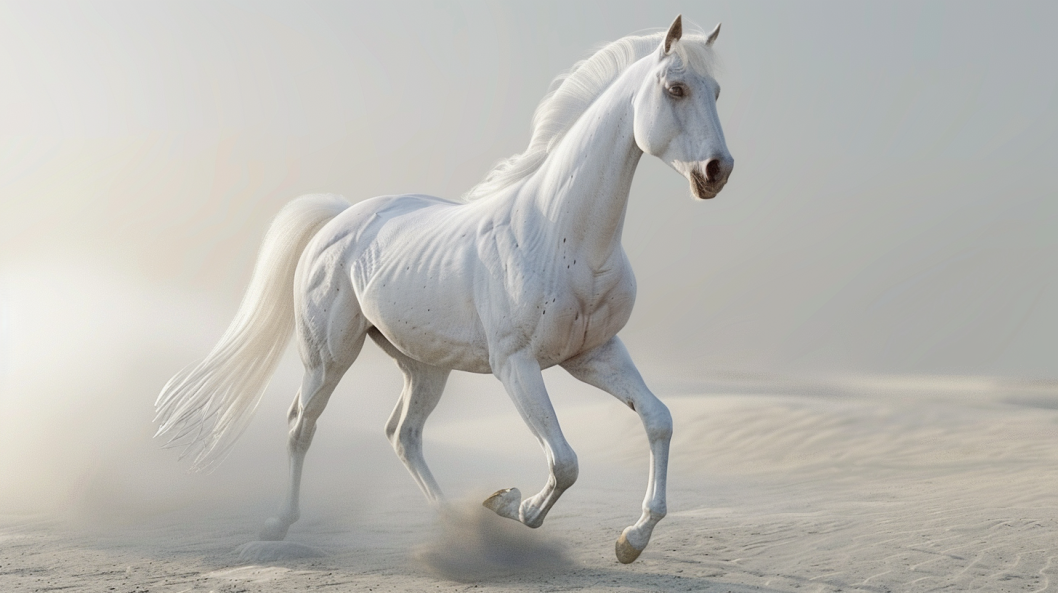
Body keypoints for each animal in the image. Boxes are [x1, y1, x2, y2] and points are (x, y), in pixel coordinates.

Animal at [155, 15, 733, 564]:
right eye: (676, 88)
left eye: (717, 90)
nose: (717, 171)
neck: (560, 233)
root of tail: (340, 218)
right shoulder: (516, 365)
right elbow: (564, 462)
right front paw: (508, 502)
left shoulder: (594, 354)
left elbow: (658, 421)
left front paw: (631, 540)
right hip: (328, 357)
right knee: (302, 425)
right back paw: (277, 526)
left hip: (424, 366)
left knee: (403, 436)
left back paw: (454, 521)